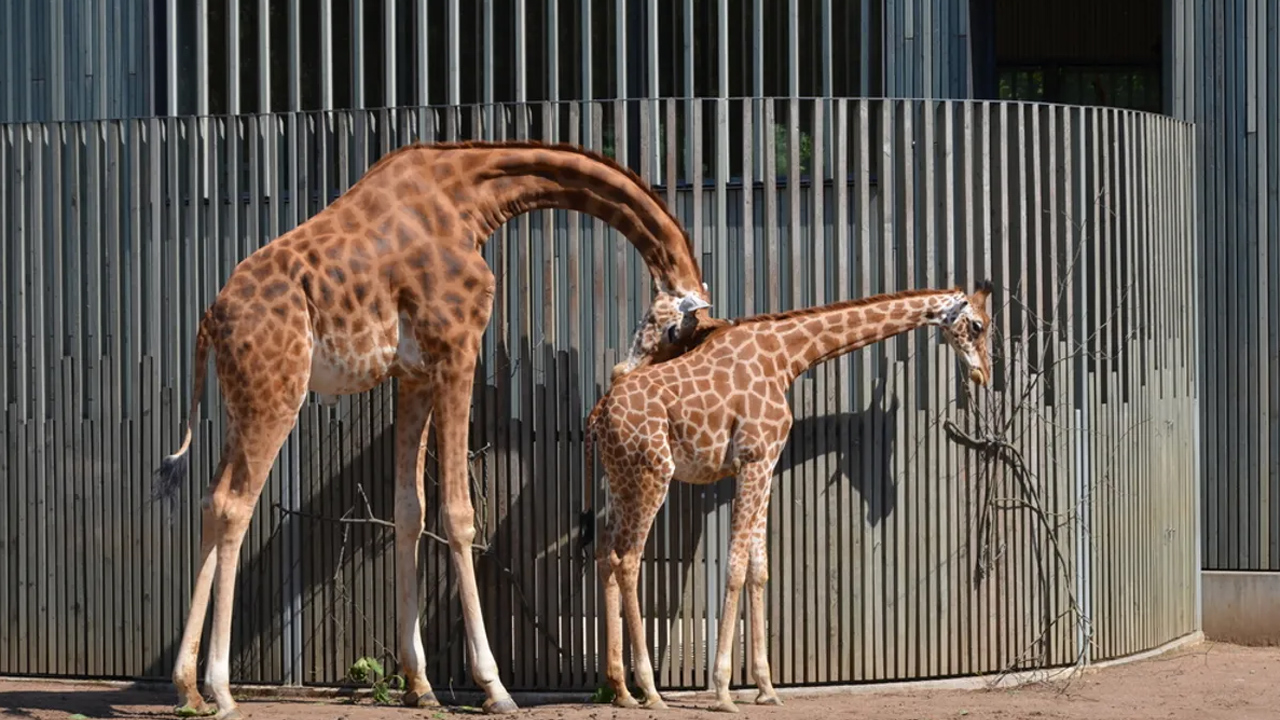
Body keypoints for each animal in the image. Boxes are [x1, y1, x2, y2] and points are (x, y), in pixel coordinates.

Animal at [151, 139, 716, 712]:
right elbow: (459, 515)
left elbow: (410, 511)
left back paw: (187, 687)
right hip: (276, 394)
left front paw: (419, 685)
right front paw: (494, 687)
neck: (471, 196)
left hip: (242, 403)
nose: (624, 377)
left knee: (210, 500)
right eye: (676, 331)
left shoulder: (415, 374)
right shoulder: (457, 349)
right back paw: (221, 690)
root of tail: (210, 320)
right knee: (234, 505)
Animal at [586, 280, 993, 707]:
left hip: (621, 479)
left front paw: (766, 688)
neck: (785, 356)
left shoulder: (765, 464)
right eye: (978, 326)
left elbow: (758, 569)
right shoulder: (754, 458)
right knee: (628, 559)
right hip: (653, 474)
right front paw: (724, 690)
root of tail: (599, 415)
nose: (983, 374)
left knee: (605, 552)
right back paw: (650, 690)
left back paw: (621, 690)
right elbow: (734, 567)